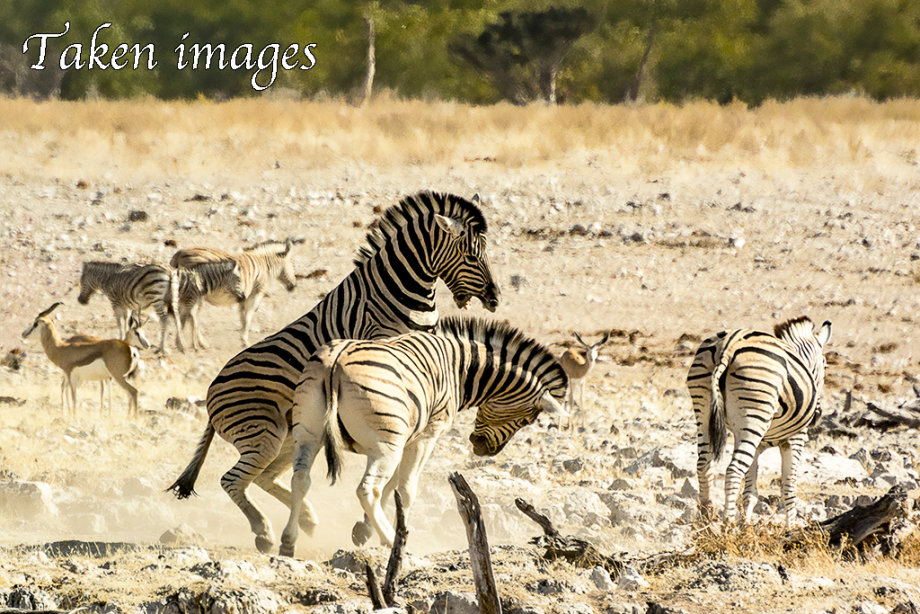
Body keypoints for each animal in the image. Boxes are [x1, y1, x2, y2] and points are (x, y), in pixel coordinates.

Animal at [169, 238, 302, 348]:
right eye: (293, 264)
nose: (294, 287)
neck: (265, 264)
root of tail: (179, 253)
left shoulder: (243, 296)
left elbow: (243, 317)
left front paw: (242, 339)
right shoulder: (255, 294)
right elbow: (248, 317)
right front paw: (245, 341)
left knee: (186, 314)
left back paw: (191, 343)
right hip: (194, 291)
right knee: (190, 314)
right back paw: (197, 343)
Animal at [278, 318, 568, 560]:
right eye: (527, 420)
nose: (483, 449)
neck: (459, 368)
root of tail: (335, 362)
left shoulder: (406, 438)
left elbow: (392, 487)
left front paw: (363, 529)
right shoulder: (425, 436)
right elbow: (405, 489)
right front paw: (396, 532)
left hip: (309, 434)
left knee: (301, 480)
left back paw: (288, 542)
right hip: (385, 447)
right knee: (367, 489)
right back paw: (391, 540)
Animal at [688, 318, 832, 528]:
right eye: (825, 365)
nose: (817, 415)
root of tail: (729, 345)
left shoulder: (754, 442)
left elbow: (750, 491)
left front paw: (745, 526)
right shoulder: (796, 438)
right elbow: (789, 488)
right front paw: (790, 529)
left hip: (703, 405)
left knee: (703, 464)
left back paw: (706, 518)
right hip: (754, 411)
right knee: (733, 471)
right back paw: (727, 526)